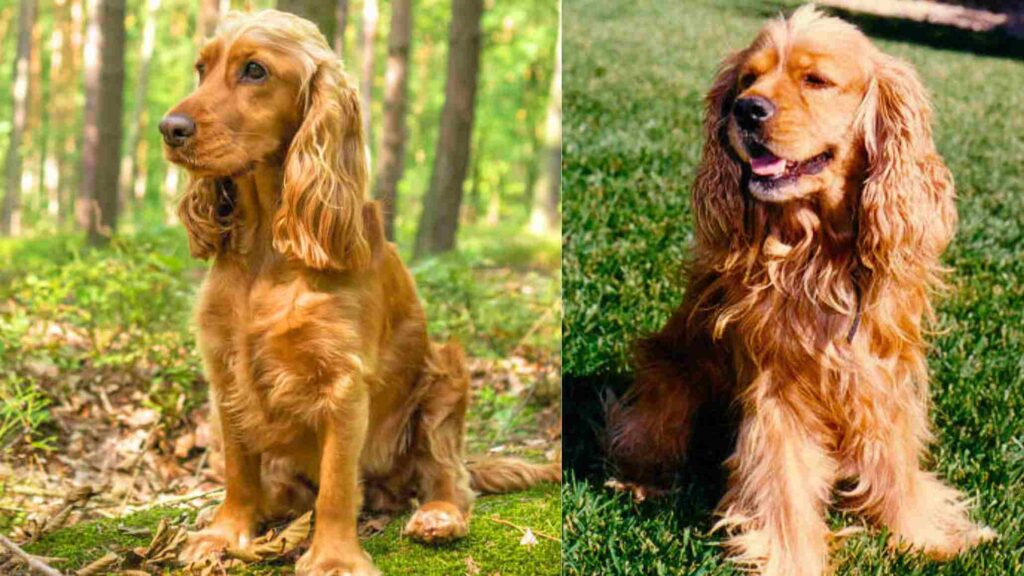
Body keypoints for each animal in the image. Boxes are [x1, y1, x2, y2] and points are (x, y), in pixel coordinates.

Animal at [157, 10, 561, 573]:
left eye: (255, 70)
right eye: (202, 68)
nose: (169, 129)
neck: (268, 248)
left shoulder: (343, 381)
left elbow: (337, 484)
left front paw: (332, 558)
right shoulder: (225, 371)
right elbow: (238, 467)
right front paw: (224, 533)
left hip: (446, 376)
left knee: (449, 478)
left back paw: (438, 516)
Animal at [606, 5, 991, 573]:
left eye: (817, 80)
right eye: (748, 79)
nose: (746, 109)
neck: (821, 253)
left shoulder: (881, 372)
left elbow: (895, 459)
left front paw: (921, 536)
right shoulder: (778, 385)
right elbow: (782, 480)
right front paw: (793, 559)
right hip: (668, 380)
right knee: (642, 434)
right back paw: (640, 483)